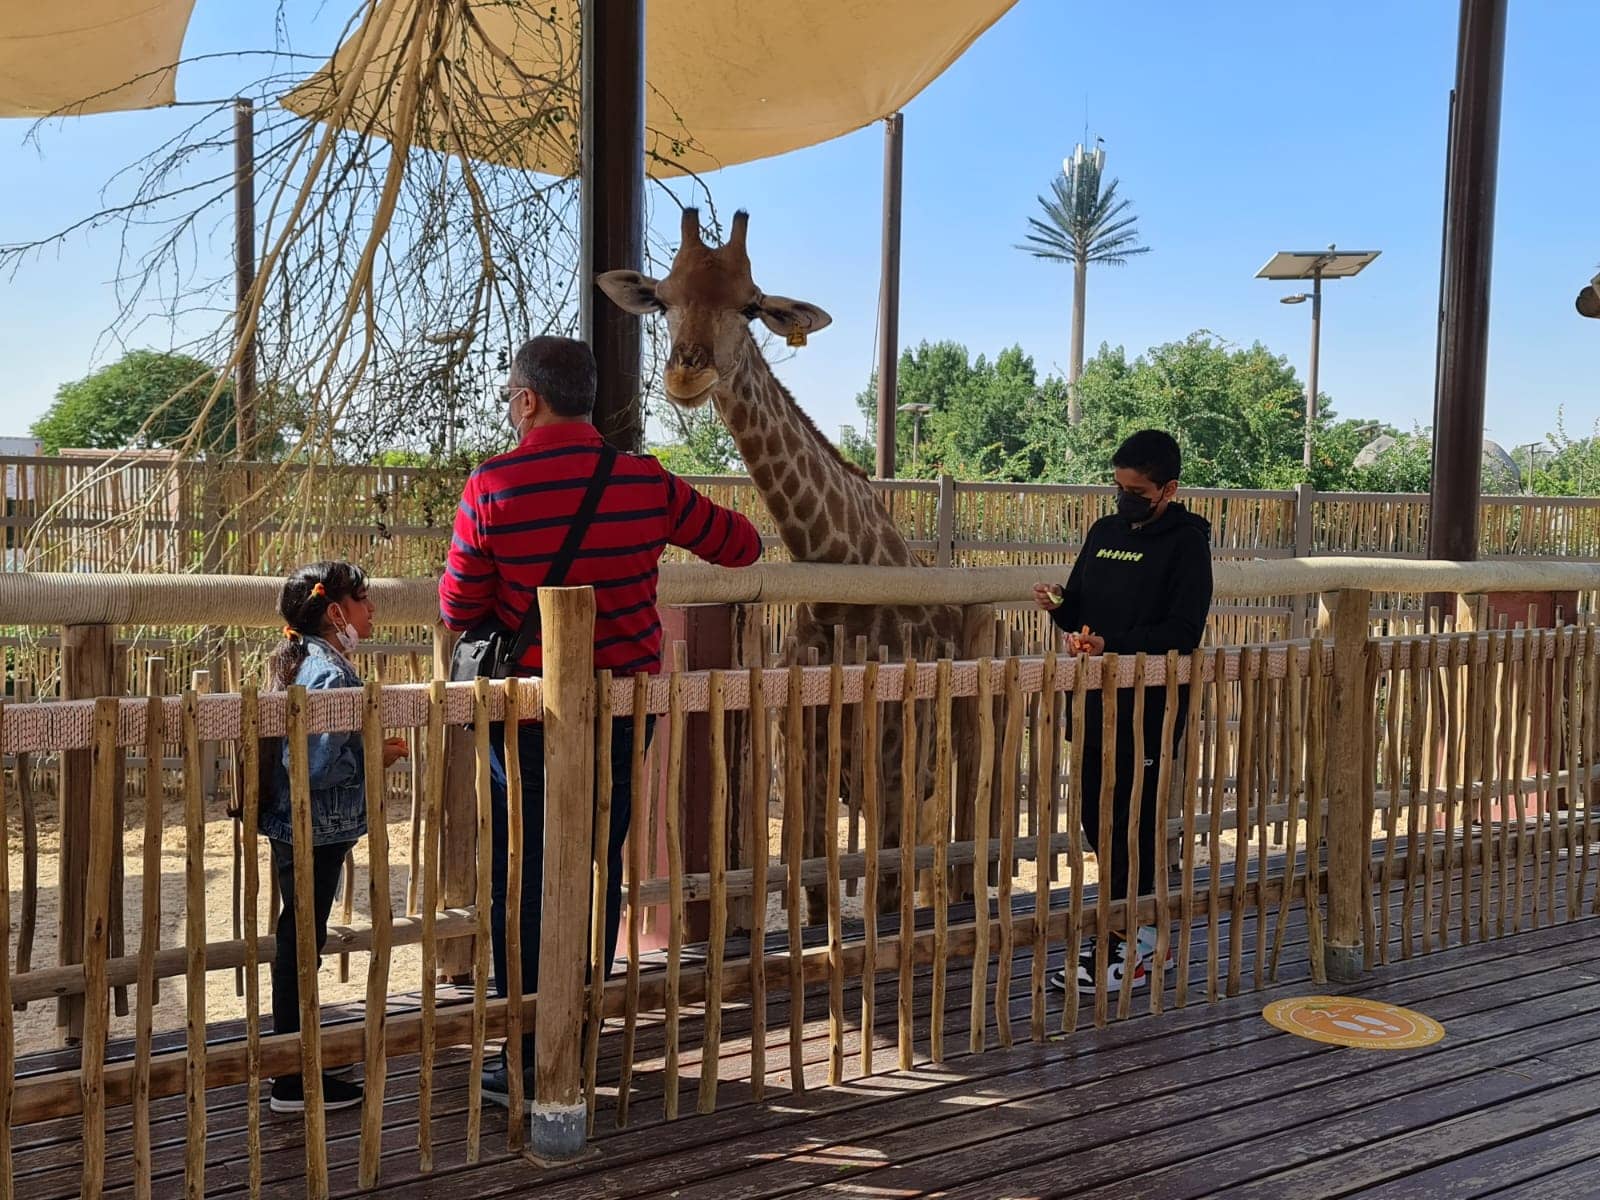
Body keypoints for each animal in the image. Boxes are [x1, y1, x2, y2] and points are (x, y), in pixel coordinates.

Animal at [599, 208, 978, 921]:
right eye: (662, 299)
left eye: (751, 305)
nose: (687, 375)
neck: (835, 564)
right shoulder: (807, 766)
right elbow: (817, 886)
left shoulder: (890, 777)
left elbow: (882, 898)